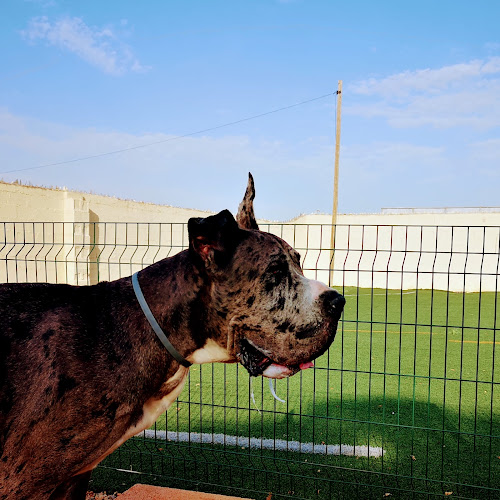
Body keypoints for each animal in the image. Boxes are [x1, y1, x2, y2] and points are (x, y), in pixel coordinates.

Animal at [0, 174, 344, 498]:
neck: (142, 327)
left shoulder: (74, 477)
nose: (338, 301)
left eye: (298, 263)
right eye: (274, 272)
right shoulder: (24, 481)